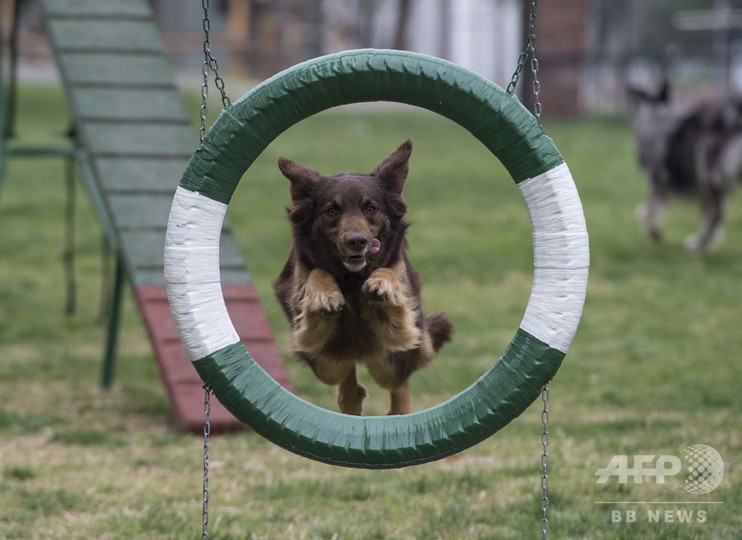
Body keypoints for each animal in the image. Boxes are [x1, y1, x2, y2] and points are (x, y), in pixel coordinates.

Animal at [274, 141, 454, 416]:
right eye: (332, 211)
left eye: (370, 209)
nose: (357, 242)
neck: (351, 279)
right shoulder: (308, 337)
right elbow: (316, 272)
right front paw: (325, 294)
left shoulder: (400, 328)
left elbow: (390, 273)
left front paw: (381, 284)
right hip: (326, 364)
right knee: (345, 374)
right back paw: (351, 397)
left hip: (388, 363)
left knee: (398, 380)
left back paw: (399, 410)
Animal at [628, 82, 742, 255]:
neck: (656, 116)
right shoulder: (702, 192)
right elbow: (705, 215)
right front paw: (708, 243)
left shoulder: (658, 183)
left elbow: (648, 209)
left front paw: (654, 232)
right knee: (716, 214)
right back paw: (700, 244)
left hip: (707, 171)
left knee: (717, 214)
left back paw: (698, 247)